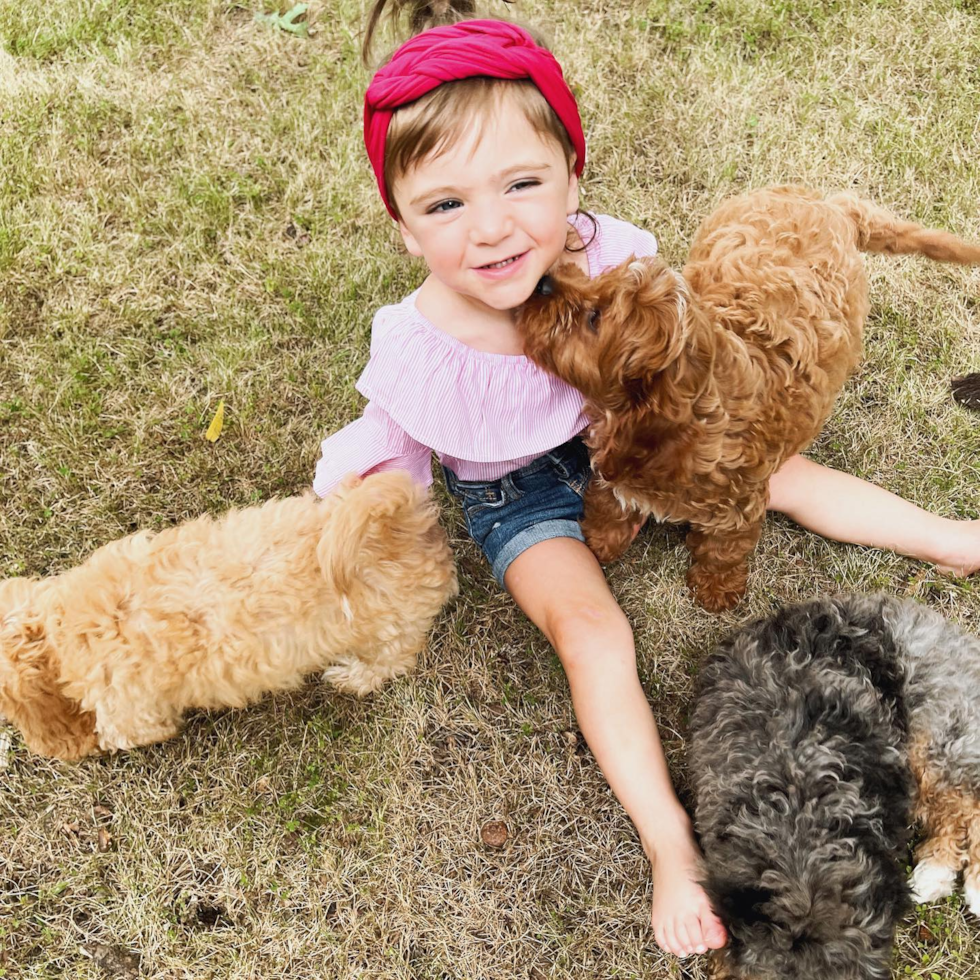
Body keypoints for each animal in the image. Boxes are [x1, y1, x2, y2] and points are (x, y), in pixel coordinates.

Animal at [0, 470, 458, 760]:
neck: (59, 627)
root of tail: (402, 529)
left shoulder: (134, 716)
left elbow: (117, 735)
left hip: (391, 631)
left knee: (391, 660)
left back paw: (353, 676)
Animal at [520, 187, 980, 608]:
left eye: (594, 318)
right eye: (597, 281)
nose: (541, 282)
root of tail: (832, 206)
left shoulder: (740, 502)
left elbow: (725, 548)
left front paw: (715, 590)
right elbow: (609, 501)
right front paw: (600, 541)